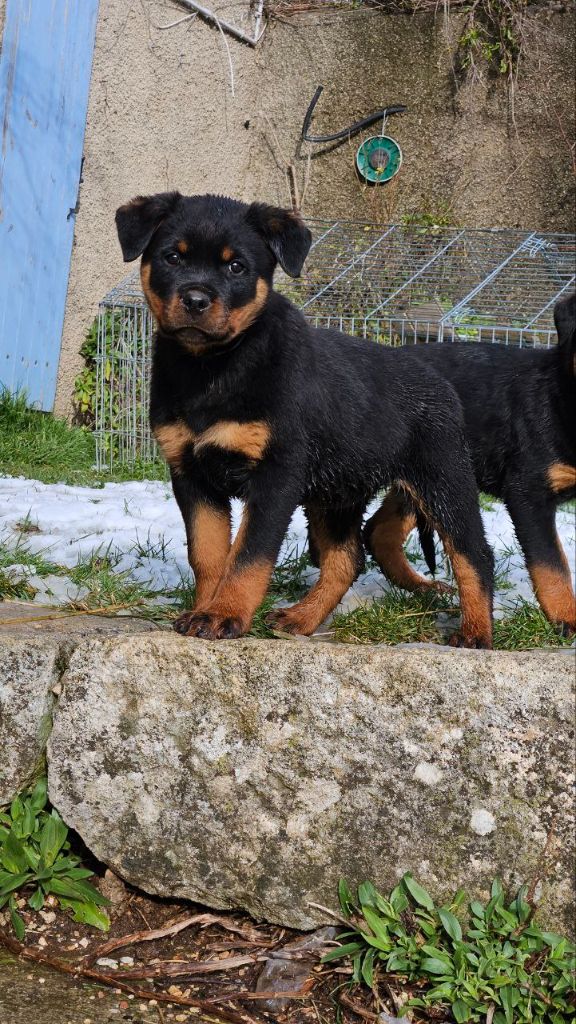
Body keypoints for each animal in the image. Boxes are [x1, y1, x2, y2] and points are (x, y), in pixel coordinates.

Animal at [115, 194, 494, 643]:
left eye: (236, 267)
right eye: (172, 257)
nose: (195, 300)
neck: (213, 368)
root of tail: (439, 378)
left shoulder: (276, 475)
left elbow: (249, 554)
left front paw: (225, 614)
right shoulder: (191, 473)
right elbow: (208, 554)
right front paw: (203, 611)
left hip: (442, 477)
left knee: (474, 554)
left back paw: (475, 632)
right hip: (337, 489)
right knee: (347, 559)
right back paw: (302, 618)